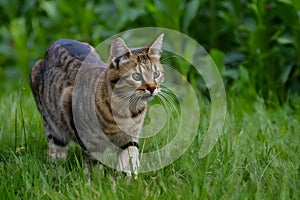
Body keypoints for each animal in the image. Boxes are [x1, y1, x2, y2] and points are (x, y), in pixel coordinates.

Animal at [29, 33, 165, 179]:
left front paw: (126, 181)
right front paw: (96, 181)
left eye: (156, 74)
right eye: (136, 76)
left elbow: (129, 160)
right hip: (54, 127)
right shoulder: (86, 135)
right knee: (56, 149)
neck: (127, 110)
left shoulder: (129, 138)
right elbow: (93, 163)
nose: (152, 88)